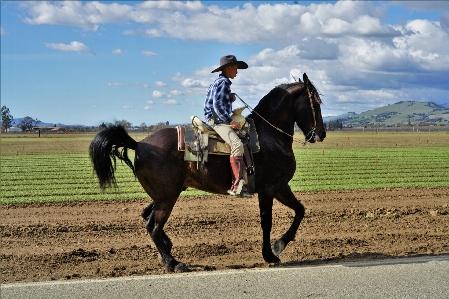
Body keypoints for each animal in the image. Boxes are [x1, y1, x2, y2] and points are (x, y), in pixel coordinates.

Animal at [88, 73, 326, 274]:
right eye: (316, 103)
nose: (322, 134)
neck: (269, 136)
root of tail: (139, 144)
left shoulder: (274, 189)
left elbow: (296, 211)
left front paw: (274, 249)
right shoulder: (274, 188)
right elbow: (278, 218)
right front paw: (274, 250)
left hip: (165, 195)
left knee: (146, 215)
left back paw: (168, 248)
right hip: (167, 198)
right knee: (153, 226)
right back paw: (172, 263)